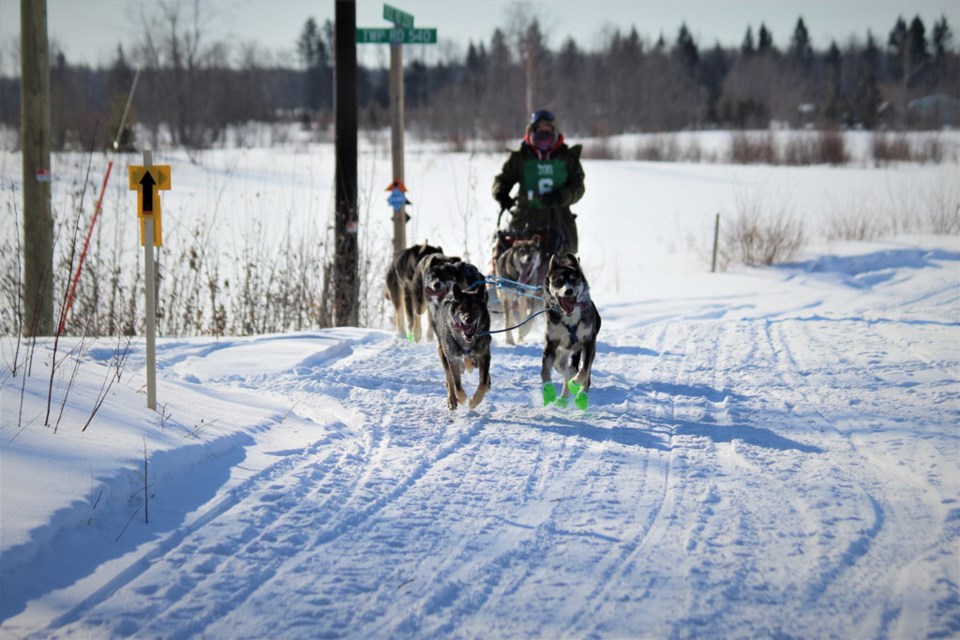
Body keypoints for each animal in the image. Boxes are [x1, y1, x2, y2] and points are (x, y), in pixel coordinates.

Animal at [540, 251, 600, 410]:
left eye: (574, 280)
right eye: (558, 281)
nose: (568, 291)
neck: (570, 320)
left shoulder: (588, 343)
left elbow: (584, 370)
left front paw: (575, 383)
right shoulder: (551, 345)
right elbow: (544, 371)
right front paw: (548, 391)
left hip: (588, 351)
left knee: (586, 374)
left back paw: (580, 396)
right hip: (558, 358)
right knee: (567, 372)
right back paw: (563, 397)